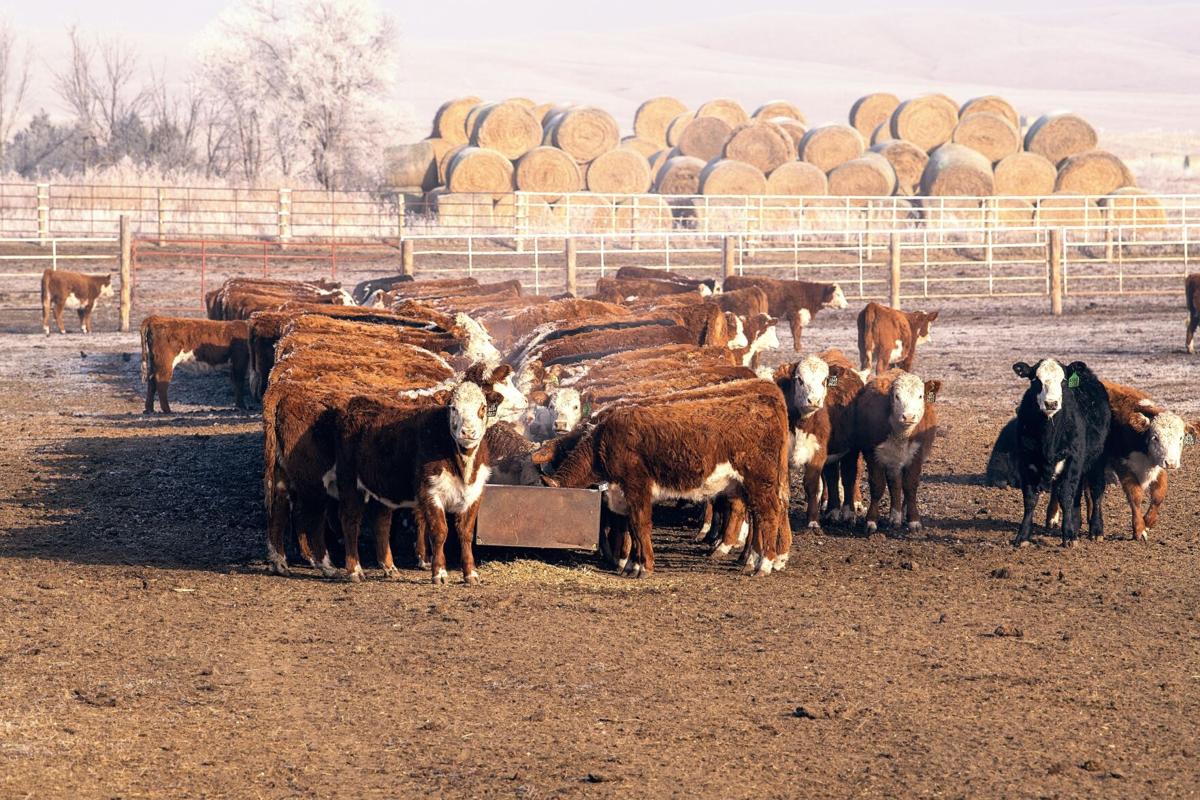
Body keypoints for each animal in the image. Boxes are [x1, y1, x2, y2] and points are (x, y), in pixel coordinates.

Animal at [534, 379, 791, 577]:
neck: (603, 441)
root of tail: (763, 400)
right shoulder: (621, 495)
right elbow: (631, 529)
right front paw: (631, 564)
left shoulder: (636, 488)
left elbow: (639, 525)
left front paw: (640, 566)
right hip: (751, 485)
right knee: (761, 515)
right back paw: (753, 560)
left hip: (760, 481)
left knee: (769, 515)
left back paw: (764, 563)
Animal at [852, 369, 941, 534]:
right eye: (896, 396)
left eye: (920, 396)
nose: (909, 416)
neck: (901, 435)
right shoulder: (872, 454)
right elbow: (877, 485)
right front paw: (871, 520)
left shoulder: (916, 455)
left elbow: (910, 486)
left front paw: (914, 520)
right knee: (894, 483)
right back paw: (895, 517)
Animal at [1011, 359, 1110, 547]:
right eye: (1036, 380)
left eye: (1063, 381)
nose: (1051, 403)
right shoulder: (1025, 461)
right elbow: (1030, 498)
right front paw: (1022, 536)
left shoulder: (1073, 459)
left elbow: (1065, 496)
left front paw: (1069, 537)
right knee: (1076, 494)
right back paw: (1076, 525)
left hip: (1098, 460)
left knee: (1096, 492)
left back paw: (1096, 530)